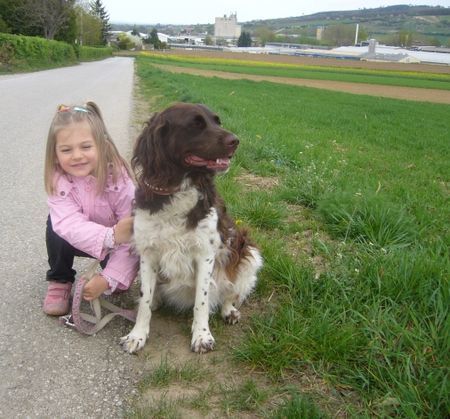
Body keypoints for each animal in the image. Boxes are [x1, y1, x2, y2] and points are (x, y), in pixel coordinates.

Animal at [120, 103, 264, 352]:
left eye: (217, 121)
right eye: (196, 125)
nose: (236, 141)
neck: (177, 187)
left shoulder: (205, 254)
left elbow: (202, 301)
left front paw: (202, 336)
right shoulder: (147, 253)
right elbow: (144, 299)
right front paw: (137, 334)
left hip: (247, 251)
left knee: (230, 292)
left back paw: (229, 310)